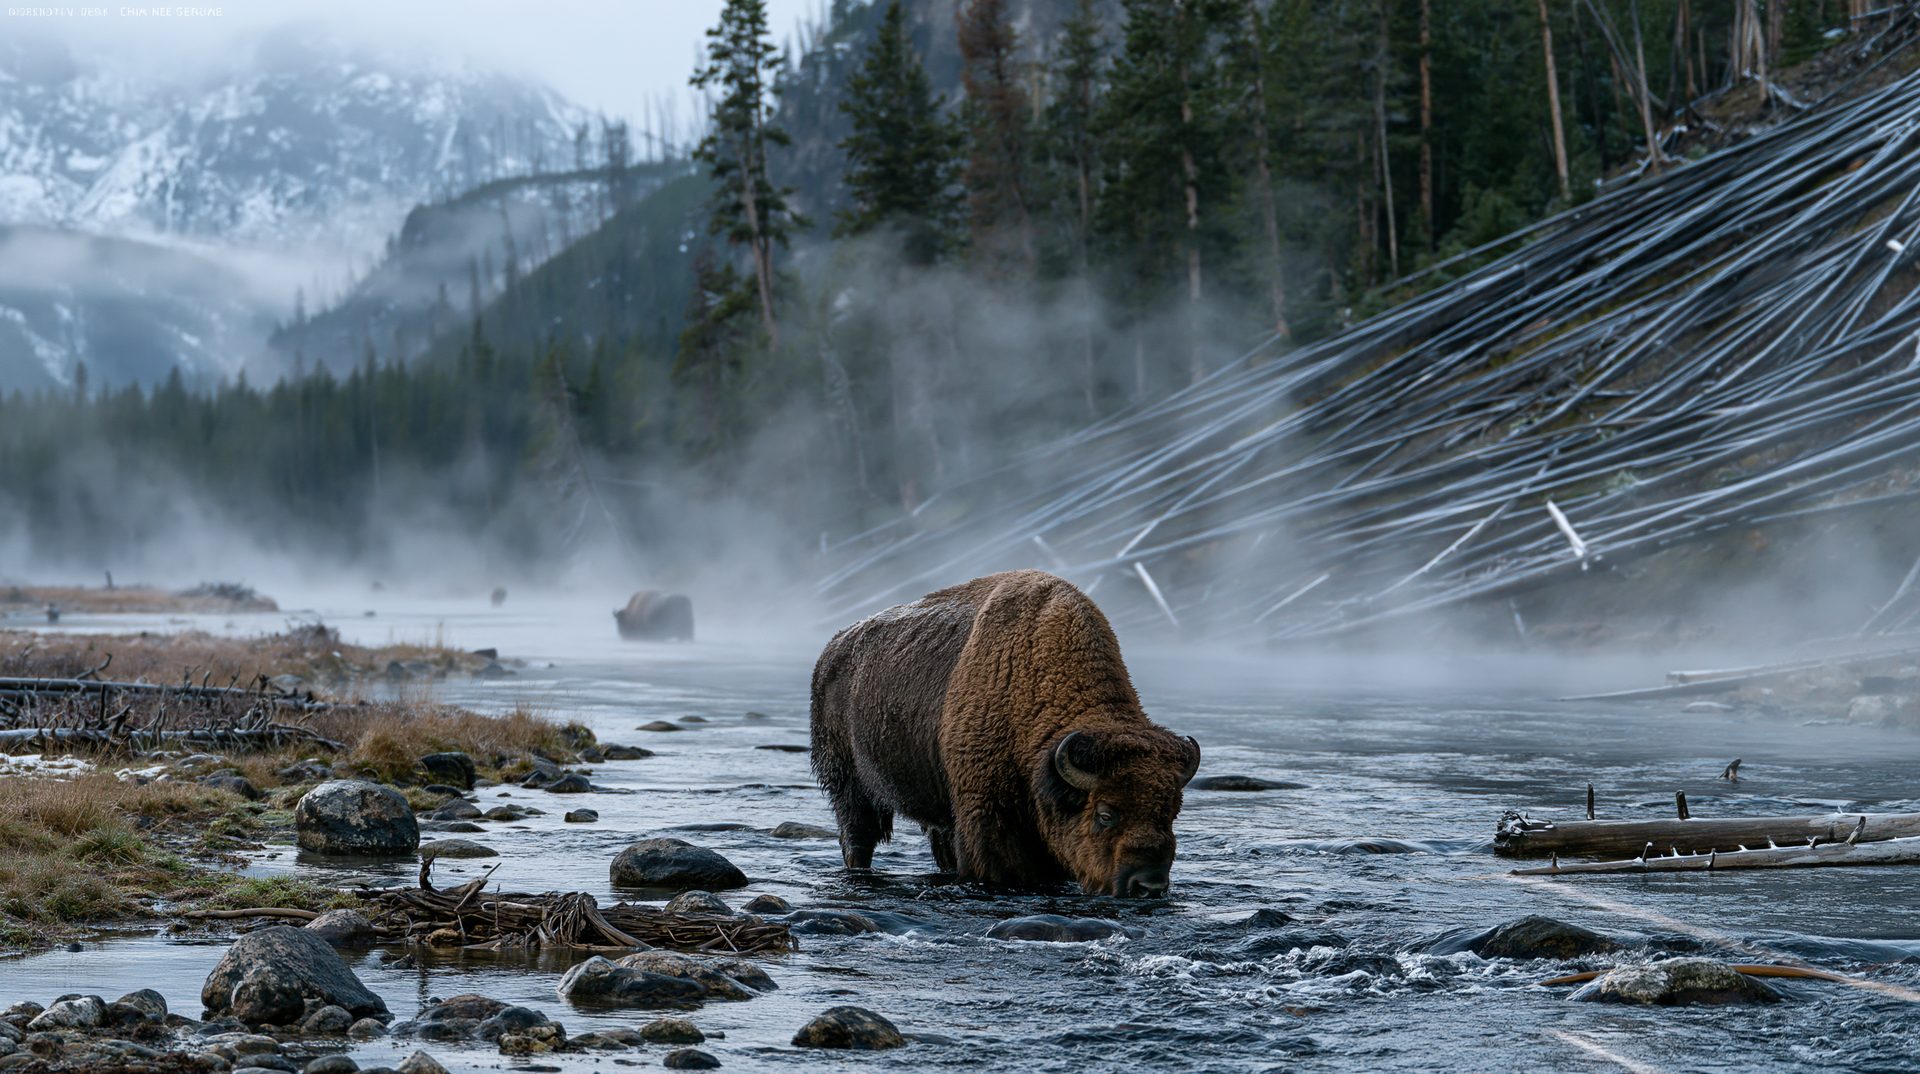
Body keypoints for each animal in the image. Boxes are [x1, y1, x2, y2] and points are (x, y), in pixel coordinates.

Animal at [810, 569, 1200, 897]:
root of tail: (831, 651)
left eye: (1171, 811)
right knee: (858, 837)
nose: (1148, 885)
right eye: (1105, 814)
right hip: (850, 788)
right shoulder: (987, 819)